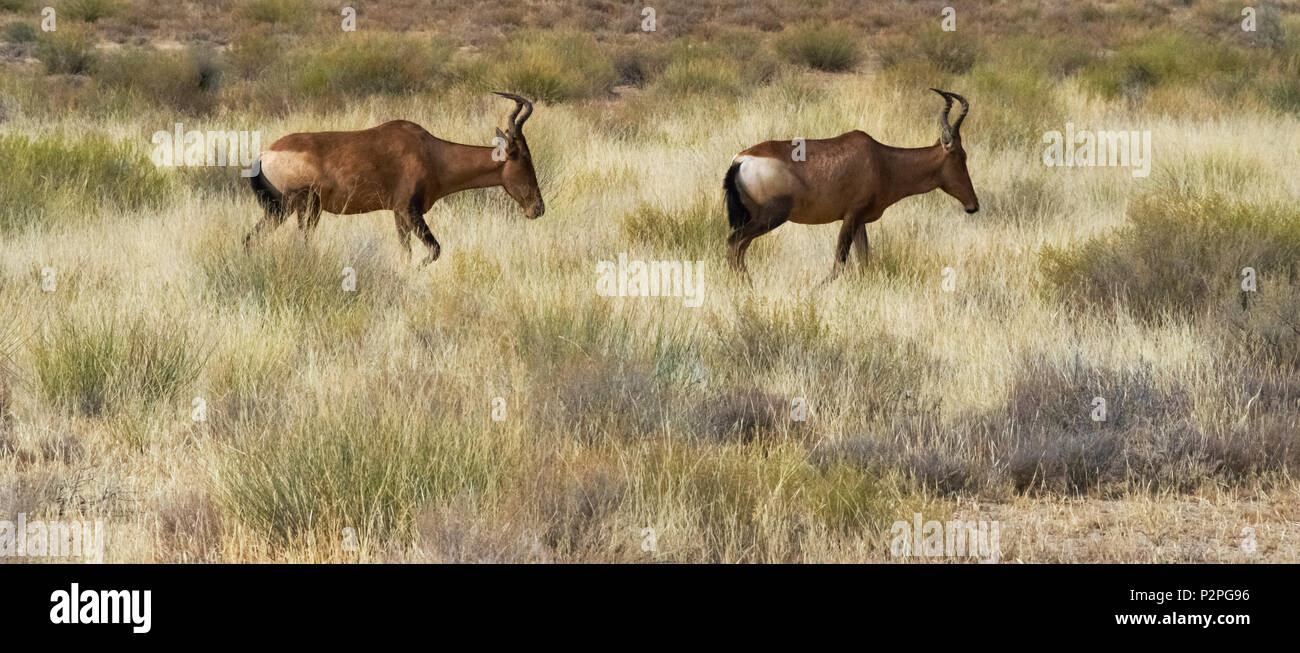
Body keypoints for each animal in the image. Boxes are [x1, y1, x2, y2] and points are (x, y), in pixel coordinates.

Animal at [244, 92, 543, 265]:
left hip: (281, 210)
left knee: (250, 239)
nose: (537, 208)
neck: (430, 151)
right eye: (524, 158)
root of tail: (265, 153)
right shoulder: (409, 210)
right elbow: (434, 251)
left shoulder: (399, 215)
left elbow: (406, 253)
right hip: (304, 209)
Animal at [722, 87, 977, 282]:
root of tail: (740, 159)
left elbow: (864, 261)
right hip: (771, 216)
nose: (973, 205)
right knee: (735, 244)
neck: (881, 159)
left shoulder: (860, 221)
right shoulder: (851, 216)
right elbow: (839, 262)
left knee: (739, 248)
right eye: (961, 156)